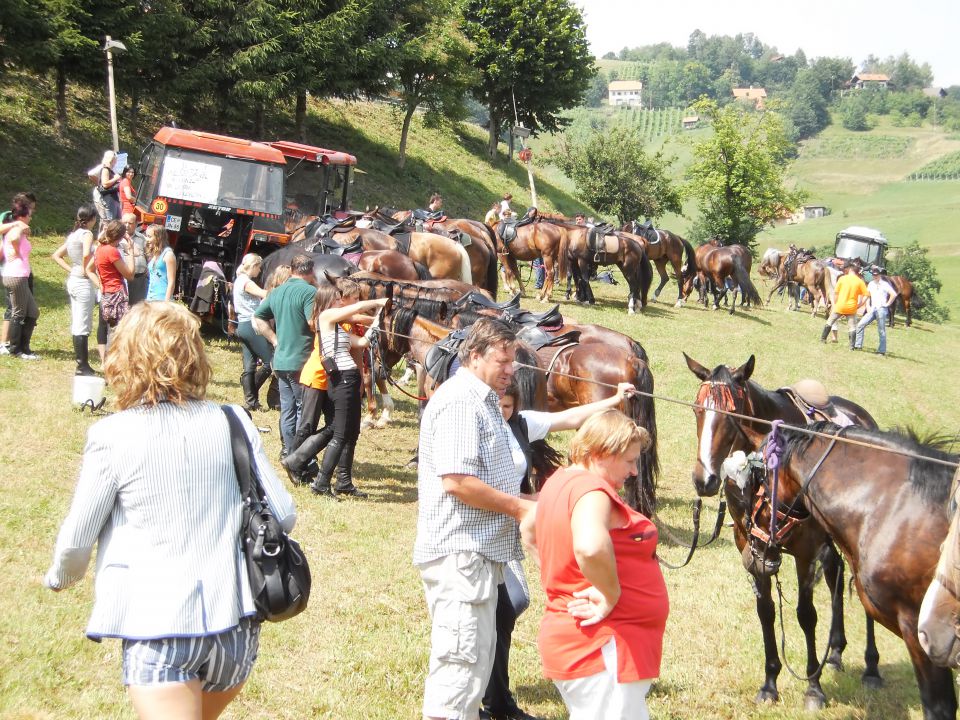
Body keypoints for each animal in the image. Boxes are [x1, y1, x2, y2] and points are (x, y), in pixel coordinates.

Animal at [684, 354, 884, 708]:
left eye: (733, 414)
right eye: (696, 409)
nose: (704, 479)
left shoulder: (805, 550)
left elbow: (806, 615)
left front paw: (813, 687)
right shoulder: (751, 546)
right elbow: (765, 611)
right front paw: (770, 683)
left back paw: (871, 667)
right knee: (834, 572)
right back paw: (835, 651)